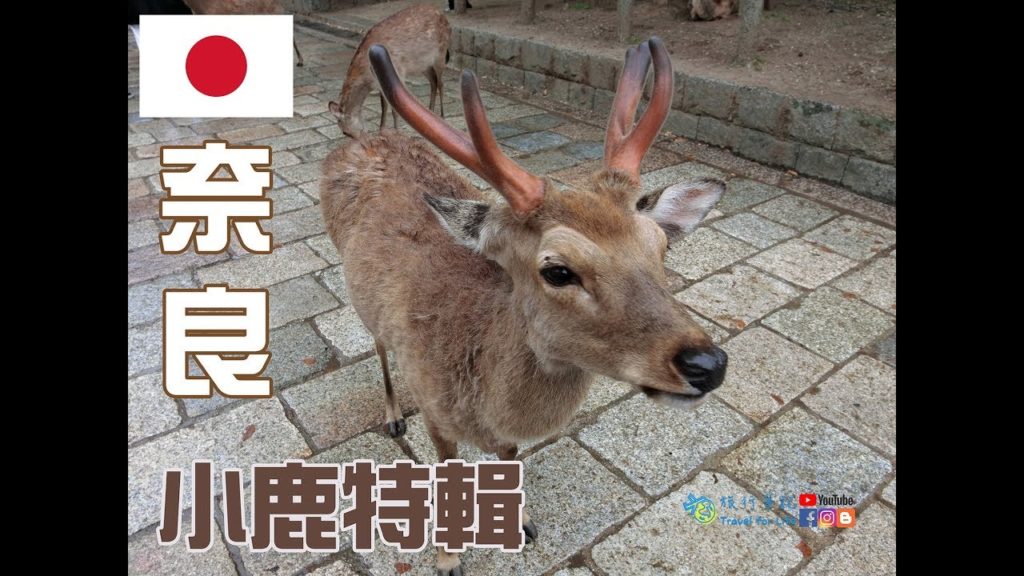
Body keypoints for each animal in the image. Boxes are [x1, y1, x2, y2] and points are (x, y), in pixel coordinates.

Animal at [319, 37, 728, 575]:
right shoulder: (434, 410)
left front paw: (522, 523)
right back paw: (391, 416)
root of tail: (359, 139)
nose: (708, 363)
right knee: (377, 344)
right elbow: (446, 470)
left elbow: (510, 457)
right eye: (557, 270)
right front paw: (448, 558)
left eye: (661, 247)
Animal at [327, 4, 450, 138]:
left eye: (345, 132)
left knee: (441, 83)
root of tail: (443, 16)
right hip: (423, 64)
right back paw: (431, 112)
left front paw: (397, 132)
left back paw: (442, 115)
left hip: (441, 54)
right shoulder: (380, 84)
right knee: (433, 81)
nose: (360, 139)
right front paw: (381, 130)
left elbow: (395, 108)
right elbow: (384, 106)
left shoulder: (398, 72)